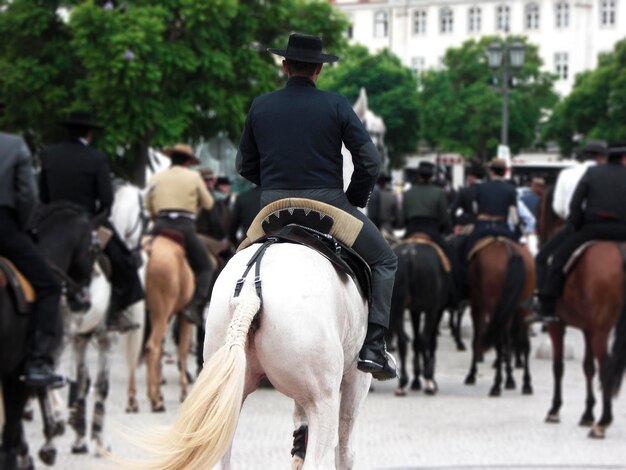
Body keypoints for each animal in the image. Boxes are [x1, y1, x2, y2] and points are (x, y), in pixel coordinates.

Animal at [143, 235, 194, 412]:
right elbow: (183, 350)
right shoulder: (184, 316)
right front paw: (184, 391)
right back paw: (155, 402)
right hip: (161, 312)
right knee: (152, 347)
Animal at [390, 237, 448, 394]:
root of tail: (411, 253)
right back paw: (428, 381)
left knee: (403, 340)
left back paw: (403, 382)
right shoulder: (437, 310)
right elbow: (430, 342)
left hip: (397, 306)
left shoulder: (414, 310)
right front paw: (427, 377)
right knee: (424, 339)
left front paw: (415, 379)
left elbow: (415, 341)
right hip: (431, 309)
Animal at [464, 239, 532, 396]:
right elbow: (508, 341)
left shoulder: (478, 307)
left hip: (493, 306)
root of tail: (511, 250)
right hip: (523, 308)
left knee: (498, 343)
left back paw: (496, 385)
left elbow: (476, 340)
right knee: (524, 343)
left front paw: (471, 374)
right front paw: (510, 379)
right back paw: (526, 384)